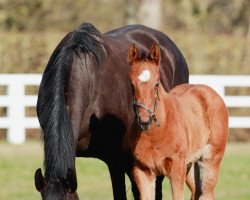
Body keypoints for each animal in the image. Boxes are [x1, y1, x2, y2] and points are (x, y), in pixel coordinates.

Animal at [127, 44, 229, 200]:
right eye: (132, 85)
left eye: (156, 83)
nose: (145, 120)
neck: (156, 134)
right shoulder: (143, 172)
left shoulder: (176, 170)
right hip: (190, 164)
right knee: (196, 192)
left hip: (210, 160)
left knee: (207, 193)